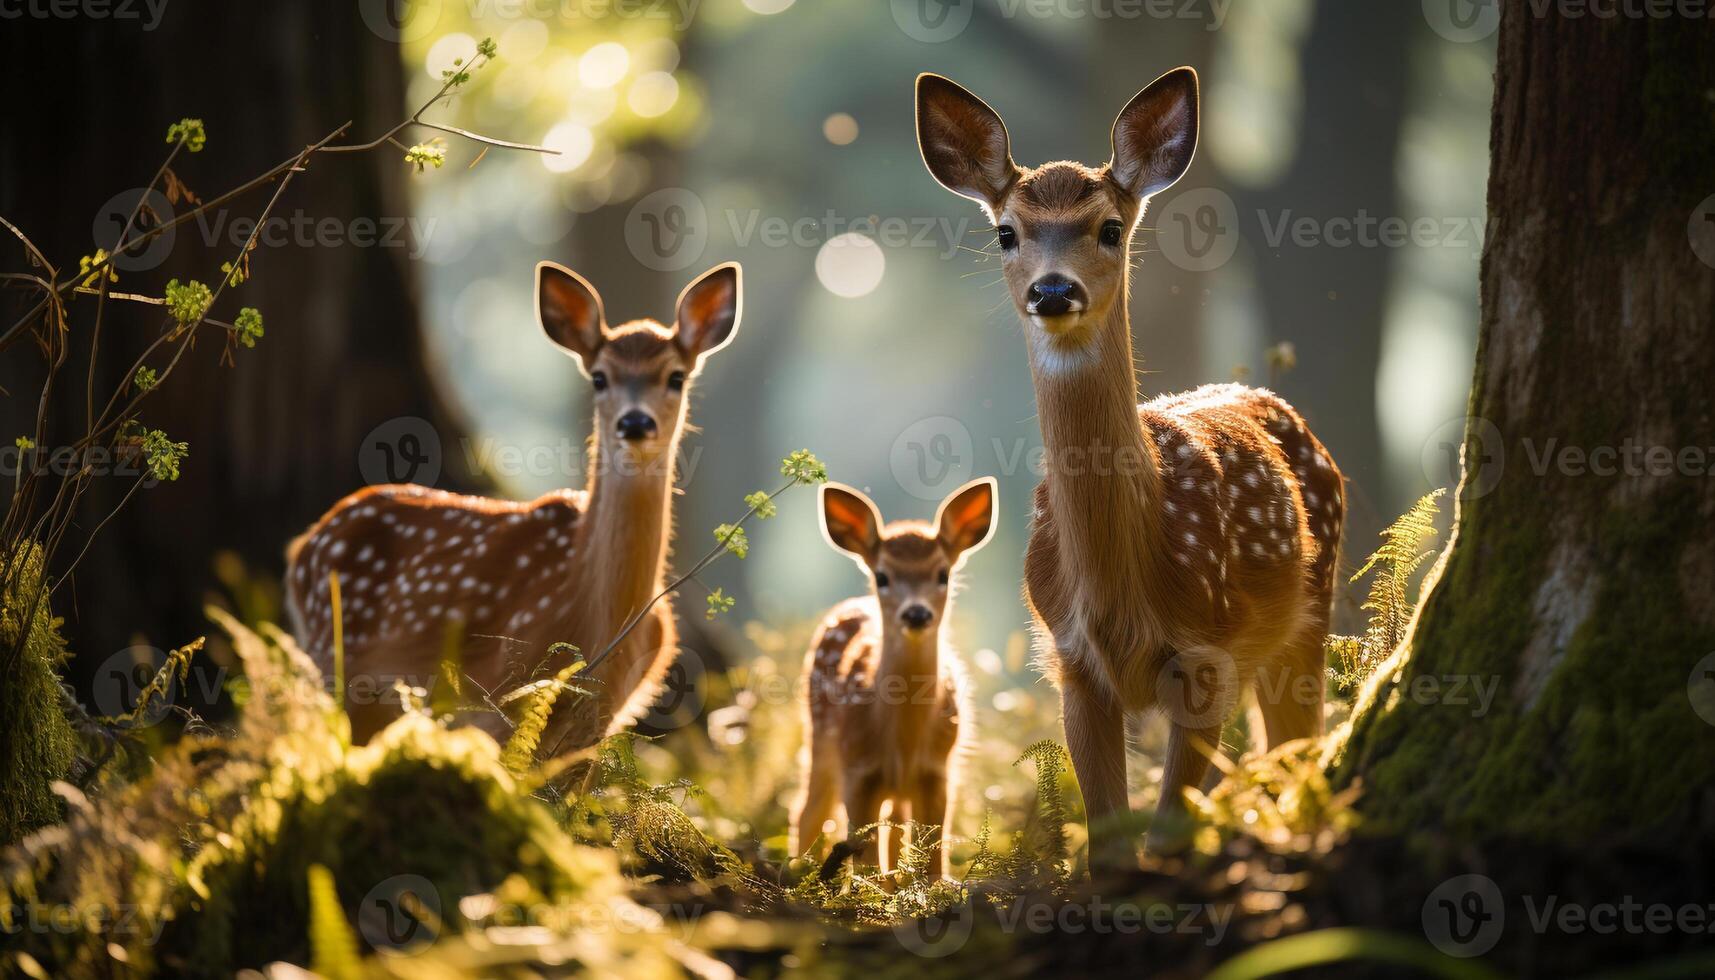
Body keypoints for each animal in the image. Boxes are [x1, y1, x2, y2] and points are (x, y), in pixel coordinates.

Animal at [288, 260, 744, 751]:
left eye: (675, 377)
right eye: (599, 377)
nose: (635, 422)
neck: (594, 612)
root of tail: (302, 547)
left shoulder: (601, 723)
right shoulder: (500, 695)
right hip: (333, 657)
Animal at [785, 477, 994, 878]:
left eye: (943, 574)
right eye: (882, 576)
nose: (916, 613)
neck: (903, 743)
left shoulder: (938, 771)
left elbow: (931, 862)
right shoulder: (858, 770)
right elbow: (864, 858)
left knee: (895, 830)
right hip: (820, 732)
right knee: (808, 810)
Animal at [919, 66, 1344, 858]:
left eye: (1108, 229)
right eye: (1006, 232)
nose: (1054, 289)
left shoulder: (1208, 652)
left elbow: (1168, 830)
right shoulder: (1071, 661)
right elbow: (1109, 839)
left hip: (1310, 612)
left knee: (1296, 746)